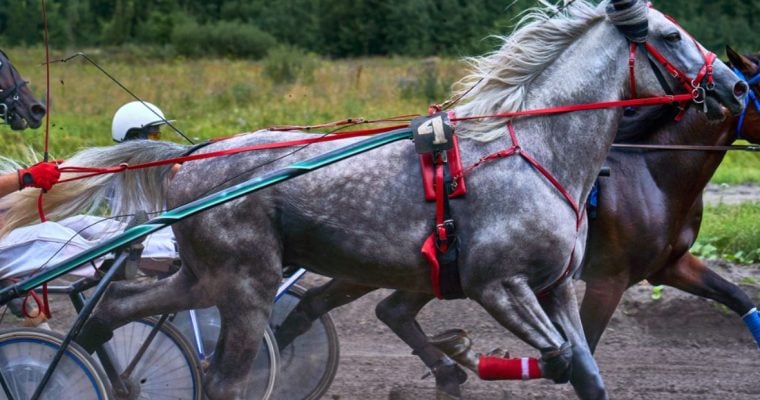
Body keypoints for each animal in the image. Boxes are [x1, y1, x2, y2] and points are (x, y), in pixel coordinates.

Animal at [0, 1, 748, 399]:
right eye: (671, 34)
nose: (737, 86)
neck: (535, 148)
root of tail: (189, 159)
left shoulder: (559, 285)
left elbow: (585, 370)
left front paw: (456, 359)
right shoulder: (496, 283)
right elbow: (559, 358)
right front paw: (462, 356)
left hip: (212, 273)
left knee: (122, 306)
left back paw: (96, 344)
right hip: (245, 283)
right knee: (223, 376)